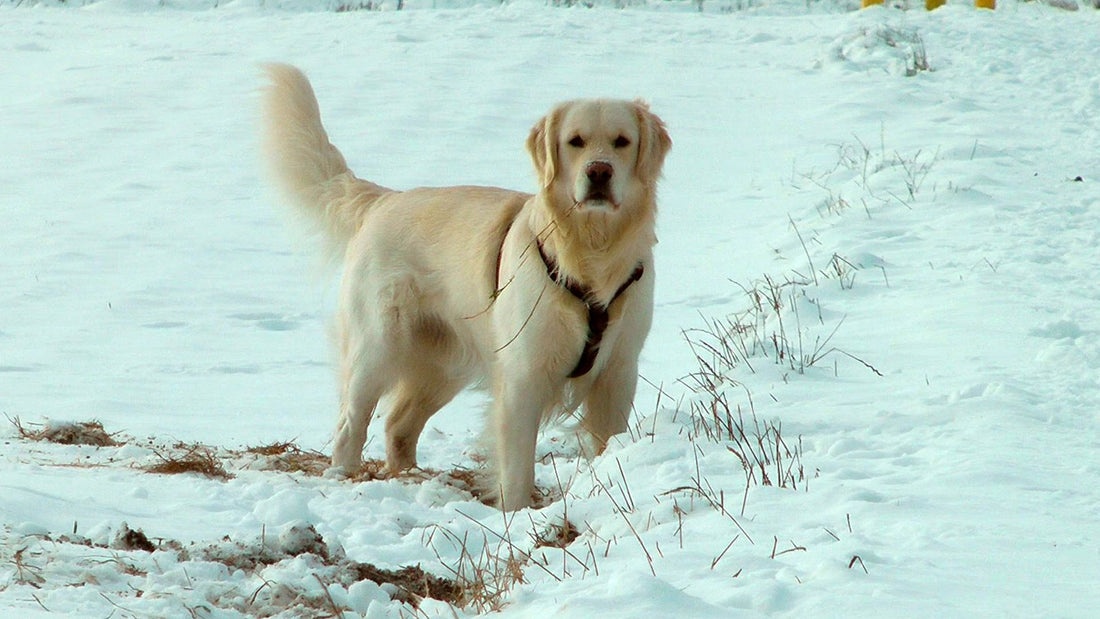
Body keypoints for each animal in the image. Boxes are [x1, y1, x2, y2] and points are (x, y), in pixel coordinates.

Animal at [258, 62, 668, 510]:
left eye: (622, 142)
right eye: (575, 141)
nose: (598, 172)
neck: (589, 251)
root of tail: (385, 200)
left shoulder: (618, 372)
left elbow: (609, 440)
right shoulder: (523, 375)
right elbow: (517, 466)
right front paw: (516, 514)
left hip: (443, 362)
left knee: (398, 424)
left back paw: (410, 476)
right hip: (378, 347)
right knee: (351, 425)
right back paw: (346, 479)